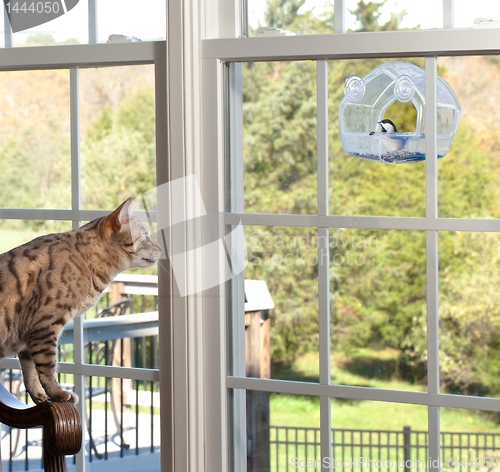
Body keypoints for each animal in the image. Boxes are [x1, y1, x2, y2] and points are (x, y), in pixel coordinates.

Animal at [0, 197, 160, 404]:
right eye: (146, 235)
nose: (160, 248)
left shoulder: (27, 339)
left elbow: (30, 372)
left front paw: (40, 396)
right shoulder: (43, 325)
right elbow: (47, 366)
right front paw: (58, 393)